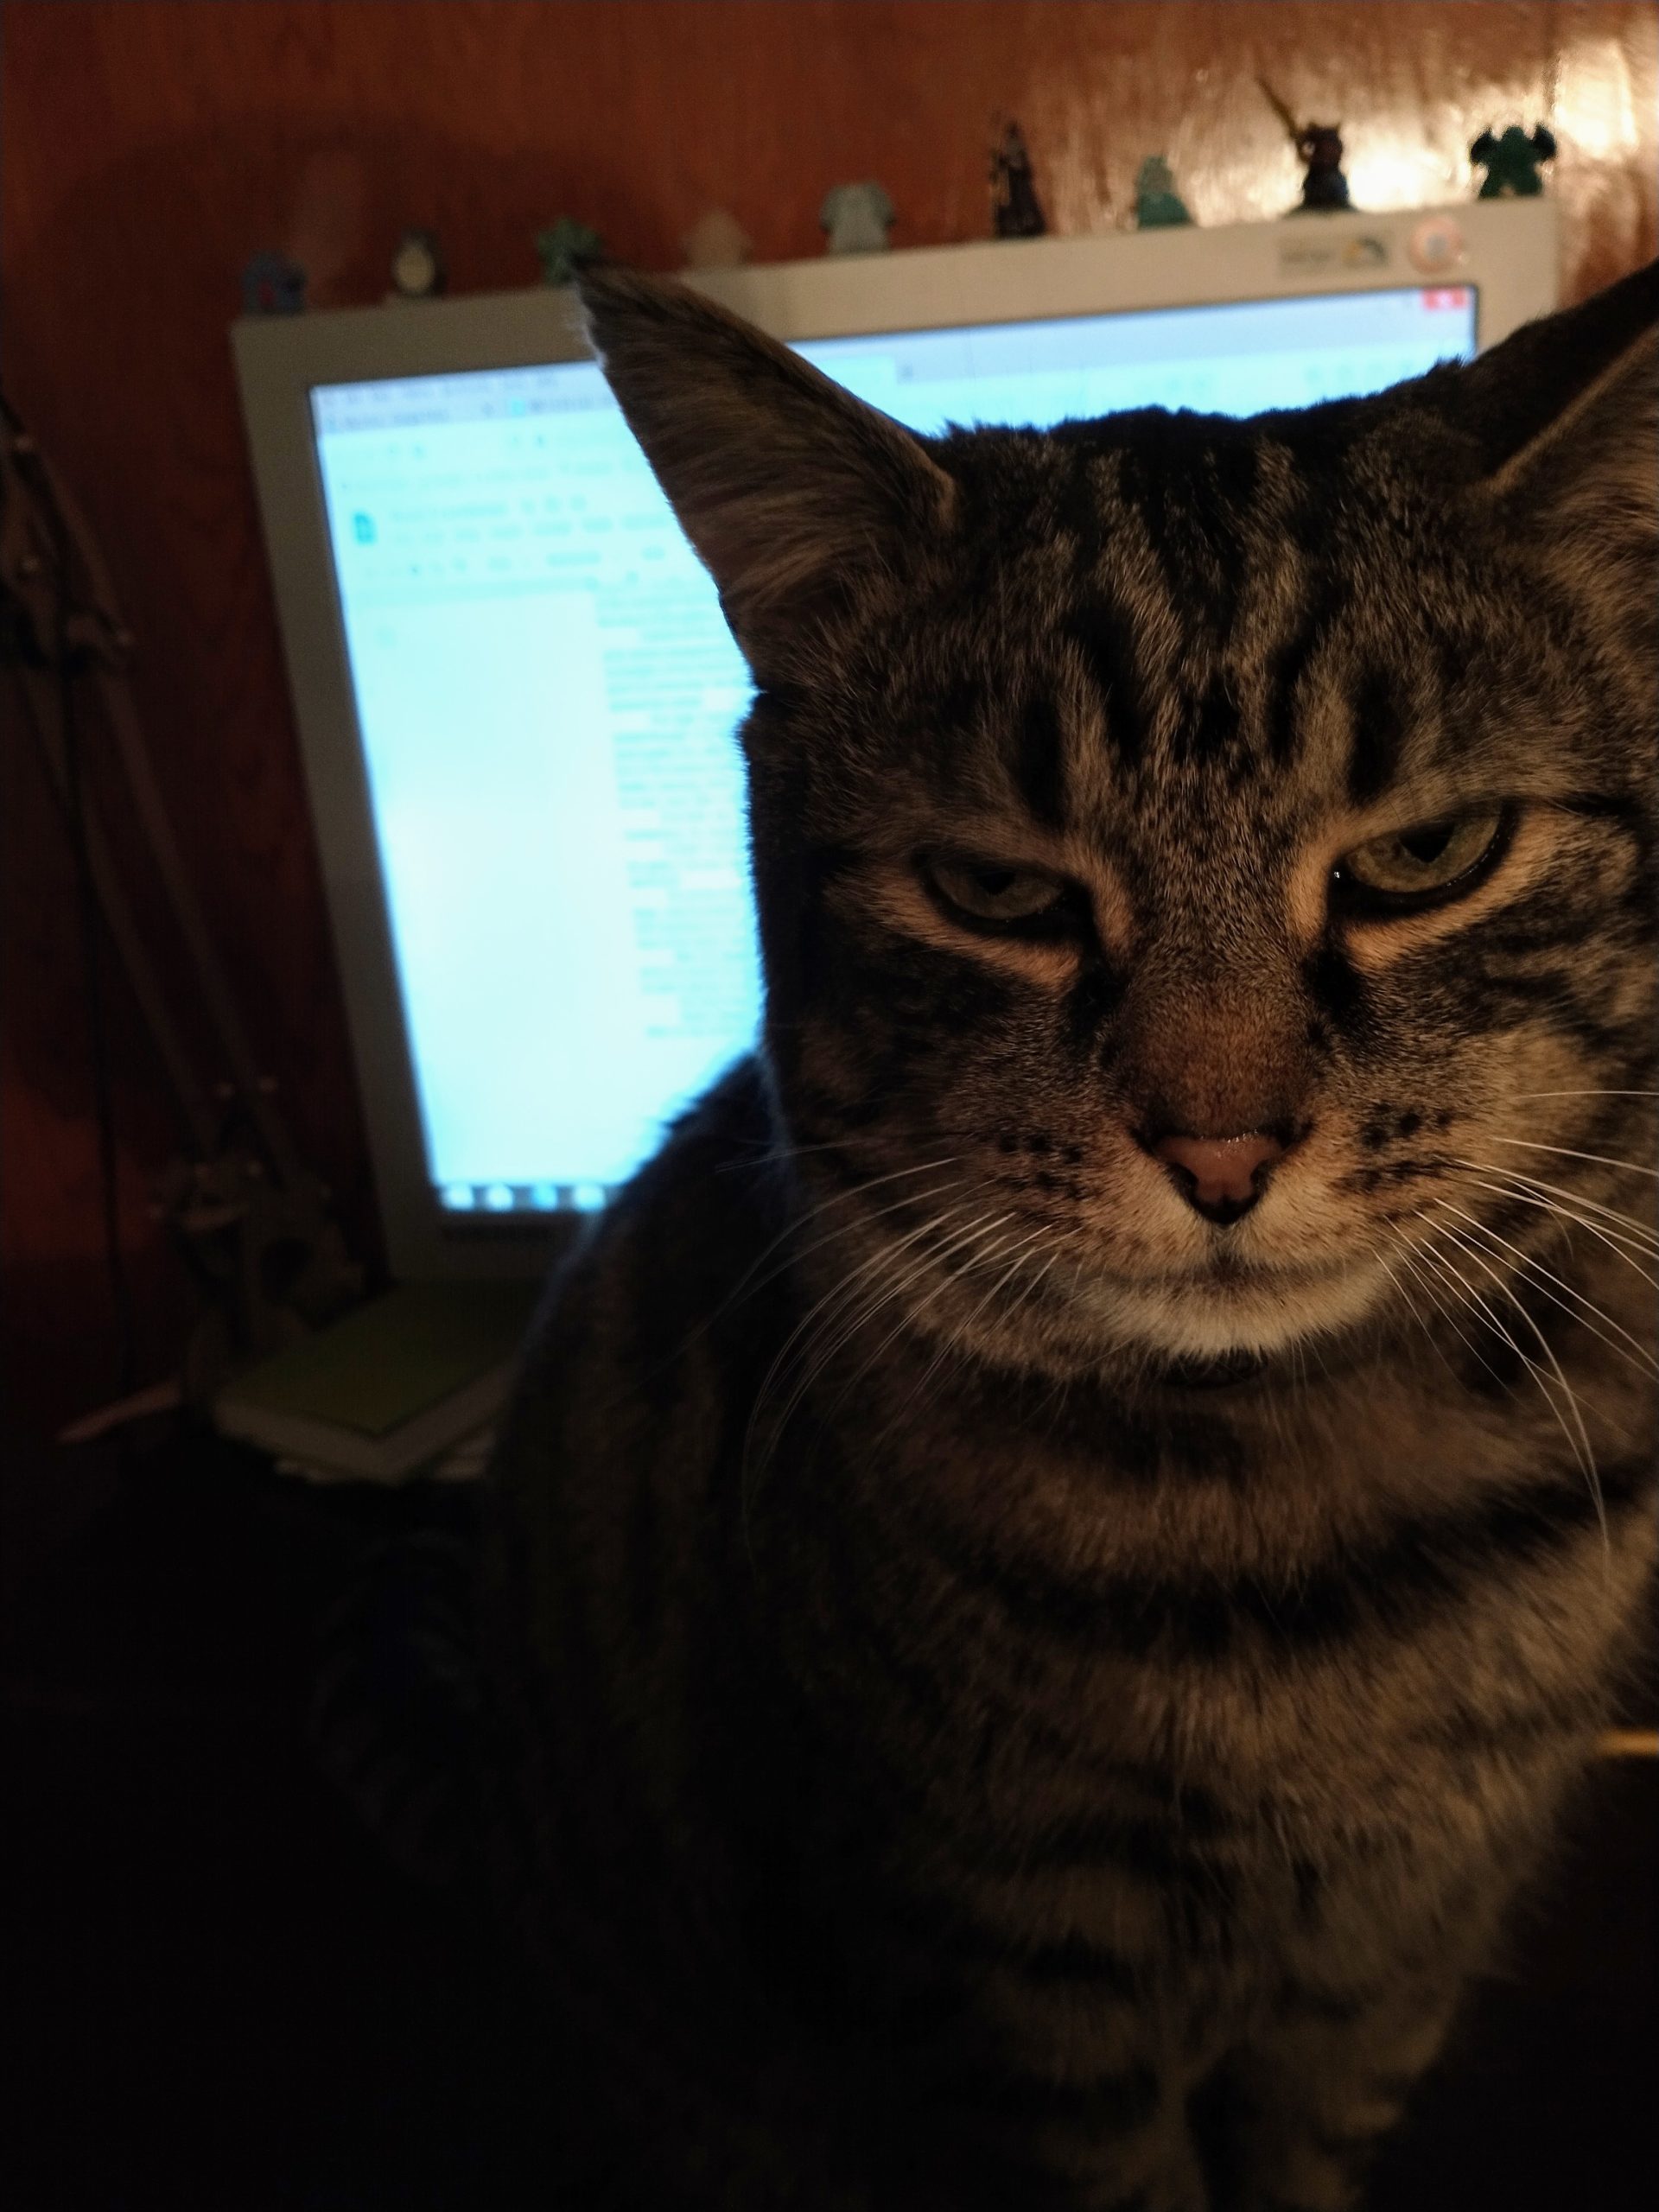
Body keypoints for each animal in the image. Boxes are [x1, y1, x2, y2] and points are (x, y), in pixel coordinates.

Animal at [473, 263, 1654, 2212]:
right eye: (997, 890)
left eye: (1429, 854)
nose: (1222, 1147)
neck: (1303, 1503)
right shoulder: (1023, 2004)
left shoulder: (1387, 1970)